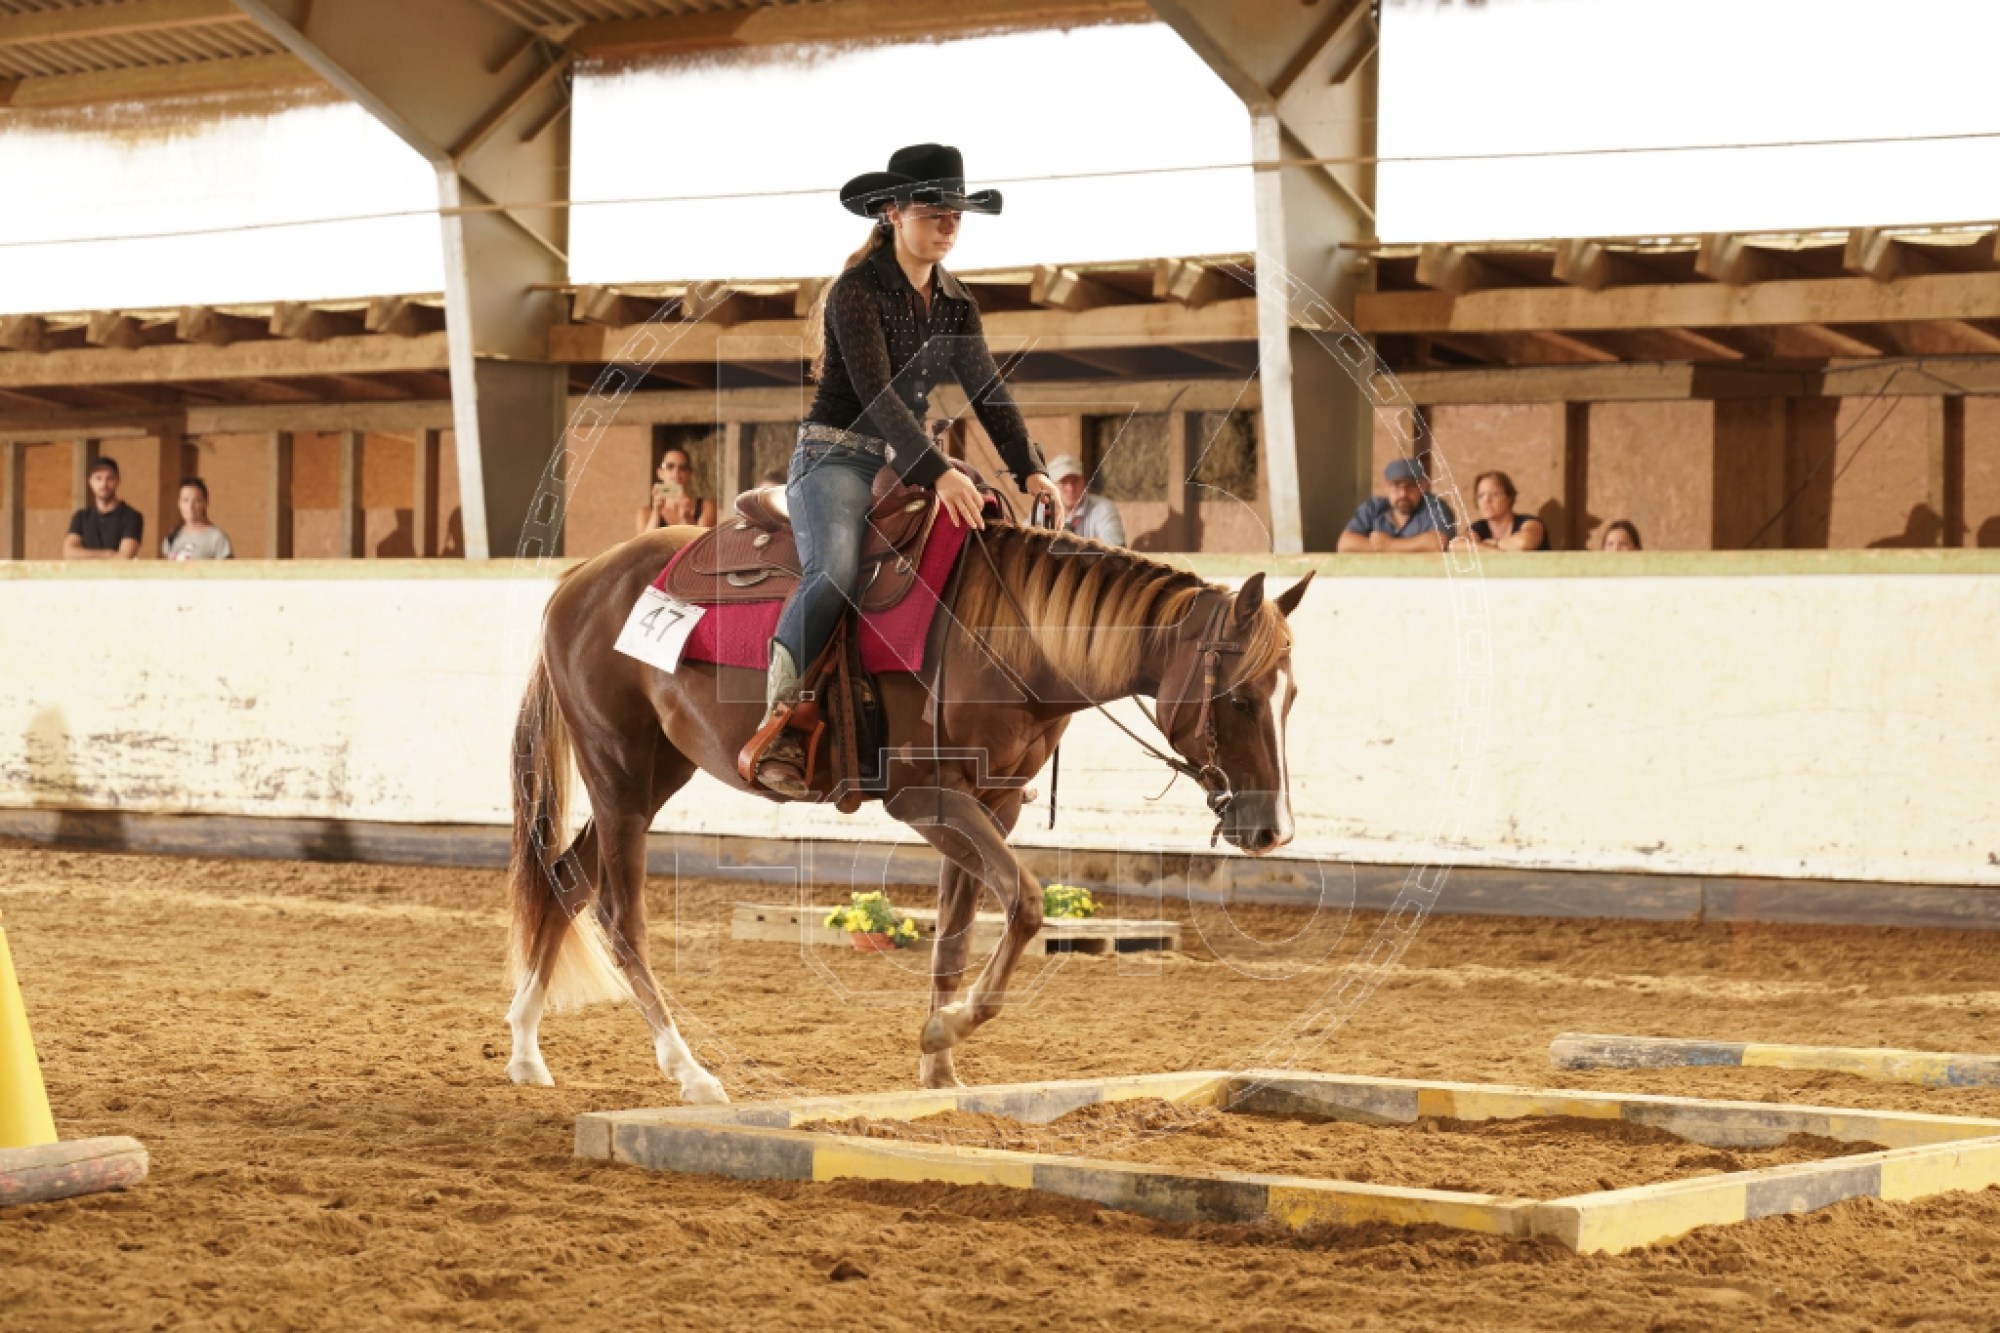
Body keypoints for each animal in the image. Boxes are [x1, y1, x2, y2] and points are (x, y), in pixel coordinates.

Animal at [505, 514, 1312, 1101]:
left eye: (1291, 696)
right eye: (1240, 697)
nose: (1272, 829)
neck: (1011, 639)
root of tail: (580, 578)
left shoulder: (995, 804)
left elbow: (958, 931)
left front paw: (940, 1063)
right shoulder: (923, 798)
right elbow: (1025, 901)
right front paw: (946, 1032)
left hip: (652, 774)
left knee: (565, 880)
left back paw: (524, 1051)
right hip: (617, 770)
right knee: (619, 916)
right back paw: (689, 1069)